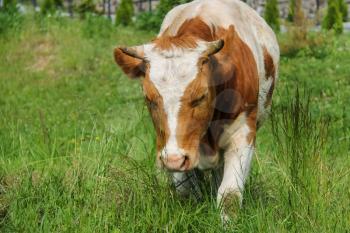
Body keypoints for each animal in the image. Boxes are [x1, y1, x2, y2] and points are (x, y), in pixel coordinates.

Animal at [113, 0, 280, 218]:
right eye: (149, 99)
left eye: (200, 96)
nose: (174, 160)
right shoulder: (175, 148)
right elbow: (186, 190)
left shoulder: (243, 132)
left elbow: (229, 194)